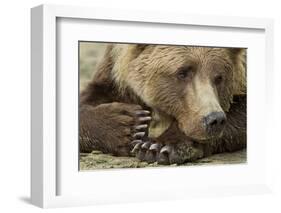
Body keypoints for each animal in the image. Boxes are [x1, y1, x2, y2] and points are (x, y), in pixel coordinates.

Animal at [79, 44, 245, 165]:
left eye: (219, 77)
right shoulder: (114, 70)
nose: (214, 119)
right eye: (182, 72)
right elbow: (92, 97)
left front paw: (158, 147)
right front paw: (129, 124)